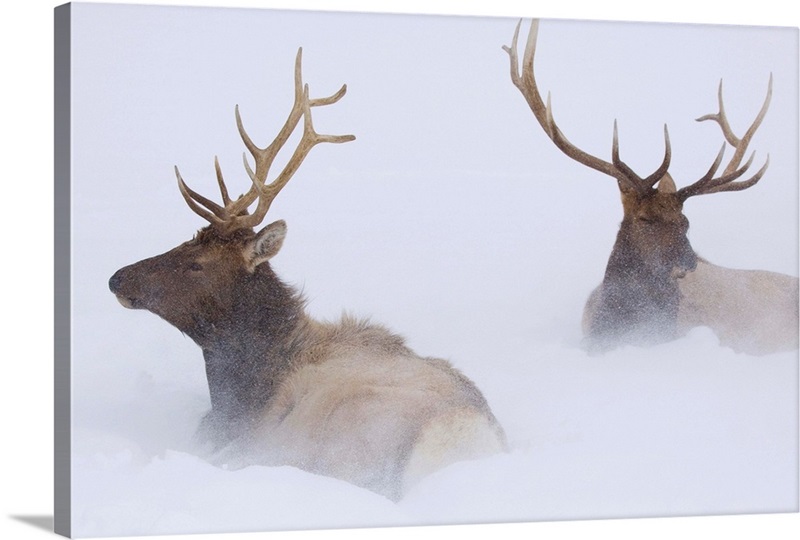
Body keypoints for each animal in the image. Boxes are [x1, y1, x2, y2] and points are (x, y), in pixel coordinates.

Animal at [109, 48, 506, 500]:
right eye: (183, 242)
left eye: (197, 263)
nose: (117, 277)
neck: (243, 388)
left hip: (345, 435)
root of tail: (461, 443)